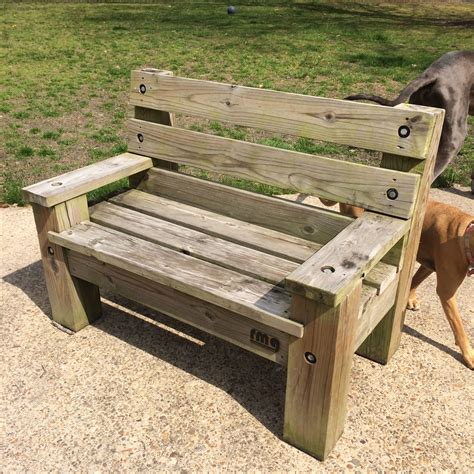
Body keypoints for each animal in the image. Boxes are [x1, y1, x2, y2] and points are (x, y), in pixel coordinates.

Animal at [320, 198, 474, 368]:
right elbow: (458, 325)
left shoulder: (429, 266)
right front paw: (469, 354)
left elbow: (414, 280)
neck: (464, 236)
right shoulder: (446, 292)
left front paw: (409, 298)